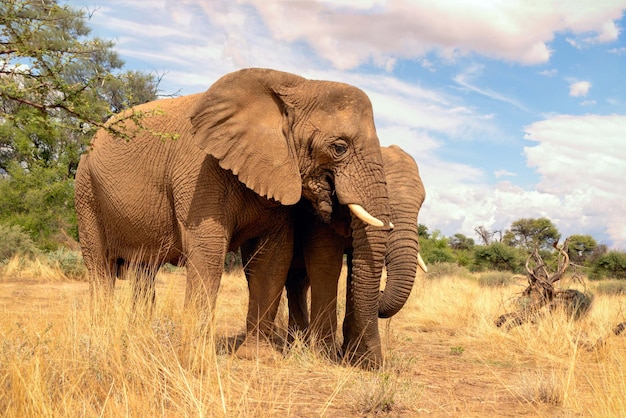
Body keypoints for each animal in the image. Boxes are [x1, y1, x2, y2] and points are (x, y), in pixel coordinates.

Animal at [74, 68, 390, 366]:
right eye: (339, 148)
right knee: (100, 267)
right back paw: (101, 339)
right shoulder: (200, 171)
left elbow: (272, 259)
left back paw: (141, 337)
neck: (297, 85)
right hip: (85, 190)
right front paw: (197, 362)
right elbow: (208, 253)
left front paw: (258, 358)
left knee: (144, 272)